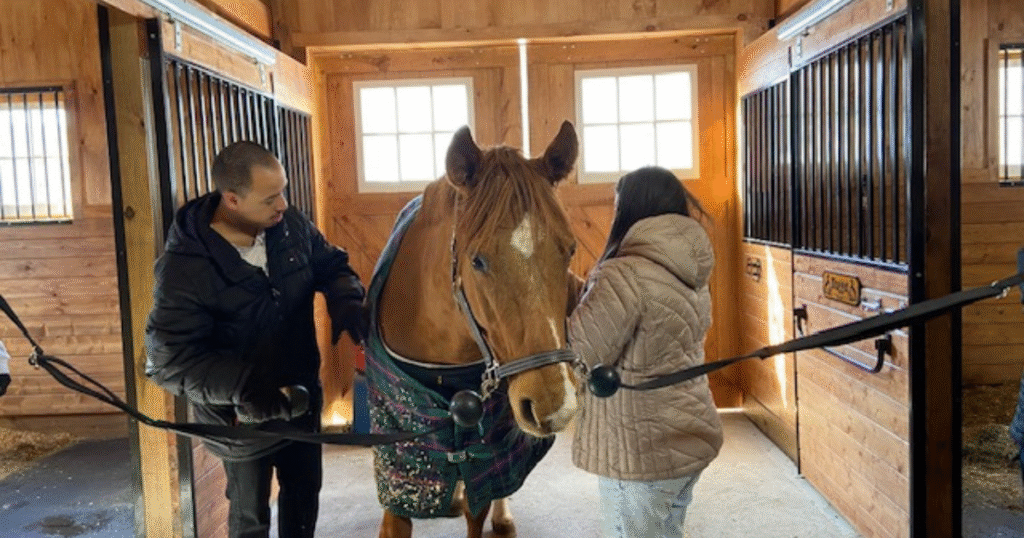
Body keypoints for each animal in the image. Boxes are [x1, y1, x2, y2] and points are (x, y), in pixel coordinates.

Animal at [363, 121, 582, 538]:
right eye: (478, 261)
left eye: (569, 250)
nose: (554, 406)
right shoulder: (399, 459)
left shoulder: (484, 451)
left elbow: (479, 507)